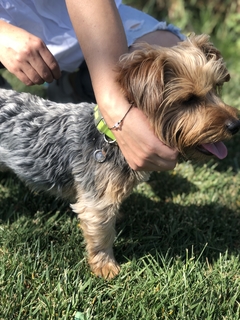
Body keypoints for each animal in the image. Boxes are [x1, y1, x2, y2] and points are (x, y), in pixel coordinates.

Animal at [0, 34, 239, 278]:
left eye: (216, 87)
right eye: (189, 100)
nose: (235, 125)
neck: (111, 138)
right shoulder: (97, 202)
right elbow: (101, 234)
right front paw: (105, 266)